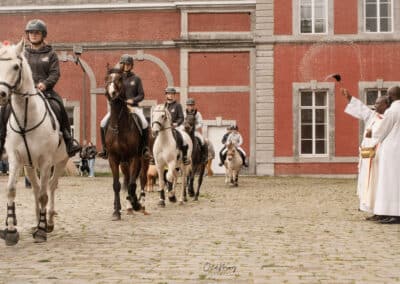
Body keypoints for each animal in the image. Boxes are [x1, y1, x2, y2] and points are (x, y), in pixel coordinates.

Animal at [0, 41, 68, 245]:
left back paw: (48, 222)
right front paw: (11, 231)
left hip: (59, 162)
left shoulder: (46, 161)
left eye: (16, 66)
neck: (26, 119)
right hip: (29, 166)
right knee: (37, 189)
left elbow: (45, 195)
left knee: (50, 187)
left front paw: (41, 231)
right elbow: (11, 190)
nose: (1, 94)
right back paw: (38, 220)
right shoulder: (15, 159)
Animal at [104, 67, 148, 221]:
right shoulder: (113, 158)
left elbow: (132, 185)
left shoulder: (134, 157)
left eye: (119, 79)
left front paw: (136, 204)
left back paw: (140, 205)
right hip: (124, 164)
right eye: (106, 79)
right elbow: (117, 185)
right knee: (129, 179)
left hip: (144, 160)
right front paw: (116, 212)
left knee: (141, 180)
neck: (119, 126)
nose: (112, 93)